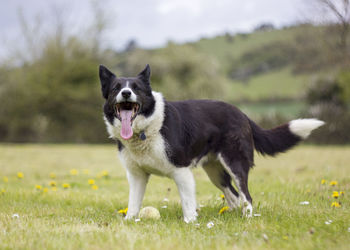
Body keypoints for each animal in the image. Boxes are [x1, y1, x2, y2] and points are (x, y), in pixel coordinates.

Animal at [98, 64, 322, 223]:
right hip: (215, 172)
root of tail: (242, 114)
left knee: (246, 196)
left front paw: (190, 224)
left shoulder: (181, 172)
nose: (126, 93)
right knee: (234, 197)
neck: (145, 130)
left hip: (234, 163)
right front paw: (129, 221)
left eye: (137, 88)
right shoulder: (137, 176)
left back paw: (247, 219)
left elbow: (188, 203)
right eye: (116, 88)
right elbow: (133, 203)